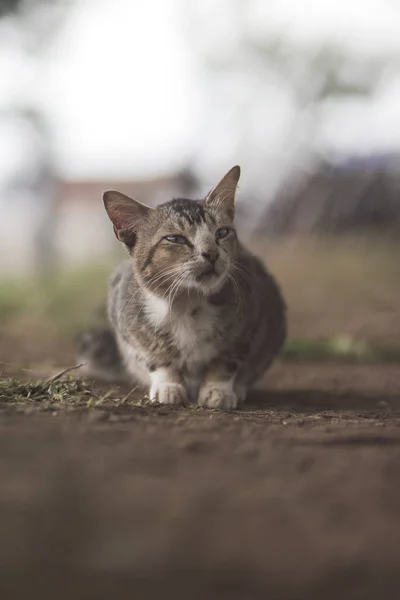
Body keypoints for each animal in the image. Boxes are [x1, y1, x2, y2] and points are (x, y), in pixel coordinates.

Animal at [76, 166, 288, 410]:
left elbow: (227, 360)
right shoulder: (127, 320)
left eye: (222, 233)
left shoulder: (251, 321)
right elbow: (156, 357)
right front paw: (168, 386)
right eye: (175, 238)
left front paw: (218, 390)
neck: (189, 302)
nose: (212, 253)